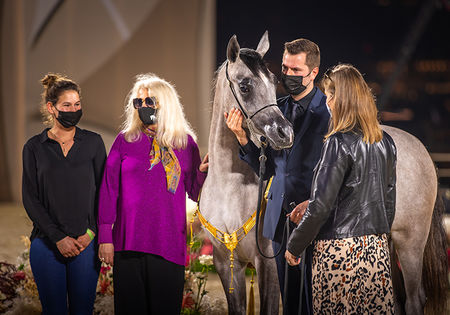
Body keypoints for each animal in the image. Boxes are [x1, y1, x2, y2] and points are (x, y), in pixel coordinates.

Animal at [201, 31, 450, 314]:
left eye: (273, 82)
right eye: (244, 86)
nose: (283, 133)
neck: (230, 188)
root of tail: (422, 150)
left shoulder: (268, 264)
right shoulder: (225, 264)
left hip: (410, 243)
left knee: (414, 298)